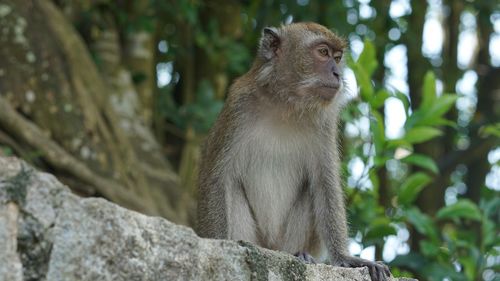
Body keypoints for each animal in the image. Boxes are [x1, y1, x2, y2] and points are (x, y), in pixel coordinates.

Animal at [197, 22, 392, 280]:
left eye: (337, 58)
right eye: (323, 52)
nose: (337, 74)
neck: (285, 104)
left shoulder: (325, 124)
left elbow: (324, 183)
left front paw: (346, 258)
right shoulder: (238, 108)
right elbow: (217, 178)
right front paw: (220, 246)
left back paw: (299, 255)